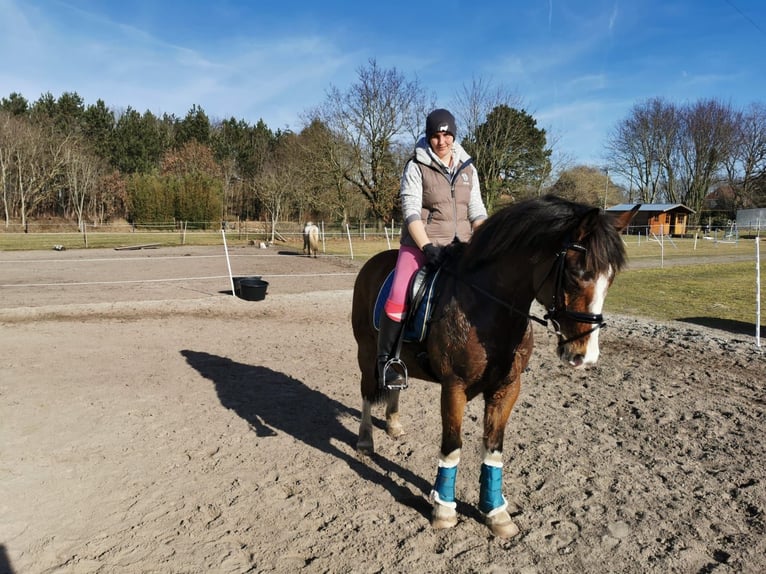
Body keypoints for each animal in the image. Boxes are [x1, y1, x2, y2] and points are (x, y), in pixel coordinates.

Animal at [354, 197, 640, 540]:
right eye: (576, 273)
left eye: (611, 277)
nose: (585, 356)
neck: (488, 309)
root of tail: (375, 262)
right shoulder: (454, 387)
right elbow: (452, 447)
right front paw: (444, 511)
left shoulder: (507, 388)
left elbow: (493, 449)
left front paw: (495, 513)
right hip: (366, 352)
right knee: (367, 392)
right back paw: (365, 440)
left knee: (394, 382)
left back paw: (394, 425)